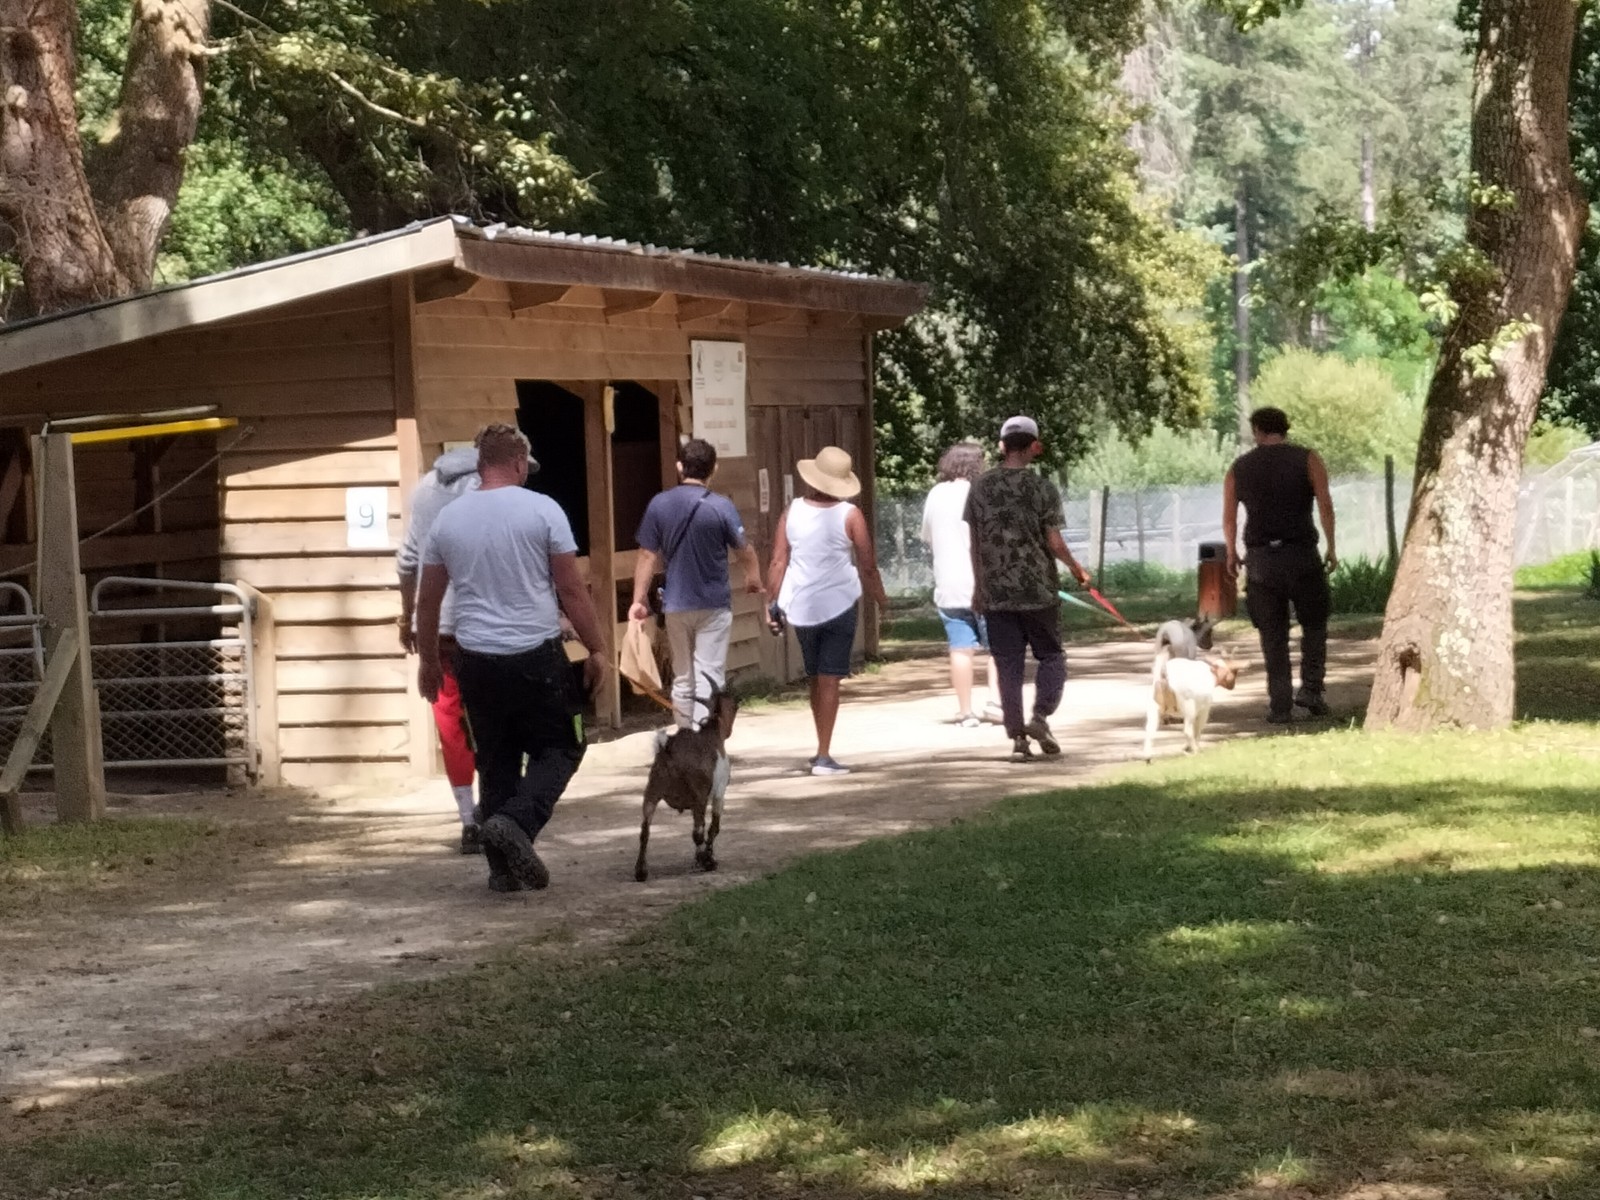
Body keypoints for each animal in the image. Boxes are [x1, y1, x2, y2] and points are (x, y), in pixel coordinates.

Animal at [633, 681, 739, 889]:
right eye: (735, 705)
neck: (712, 733)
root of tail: (668, 750)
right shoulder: (718, 793)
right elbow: (714, 827)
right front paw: (708, 858)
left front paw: (700, 858)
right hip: (699, 795)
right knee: (697, 832)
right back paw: (707, 862)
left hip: (652, 790)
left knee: (645, 831)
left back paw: (641, 871)